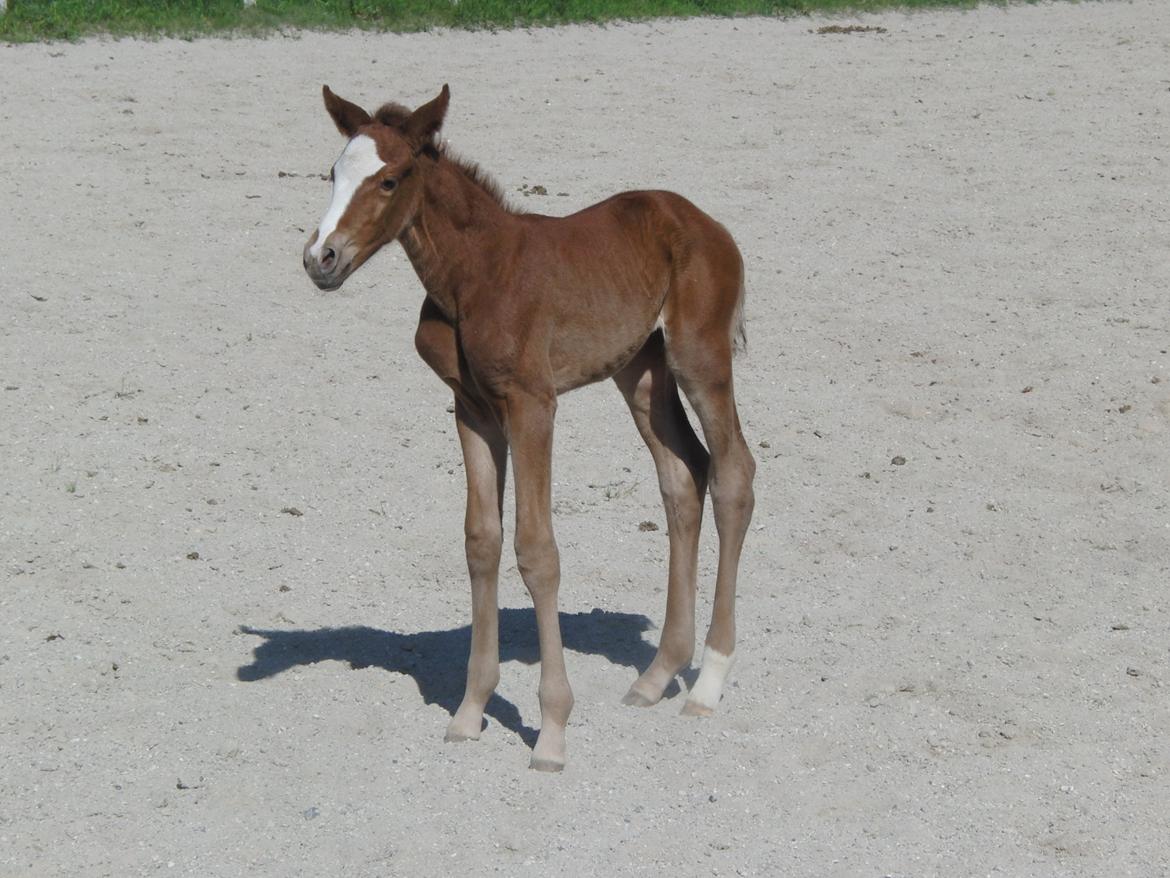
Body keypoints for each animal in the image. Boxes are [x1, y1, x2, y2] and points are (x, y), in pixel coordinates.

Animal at [301, 82, 758, 767]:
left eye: (390, 179)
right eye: (333, 173)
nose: (320, 258)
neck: (473, 274)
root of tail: (707, 224)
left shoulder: (532, 404)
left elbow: (537, 550)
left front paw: (553, 730)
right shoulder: (472, 410)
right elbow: (481, 541)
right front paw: (470, 711)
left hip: (699, 357)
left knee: (734, 475)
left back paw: (708, 682)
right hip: (641, 372)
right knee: (684, 474)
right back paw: (657, 675)